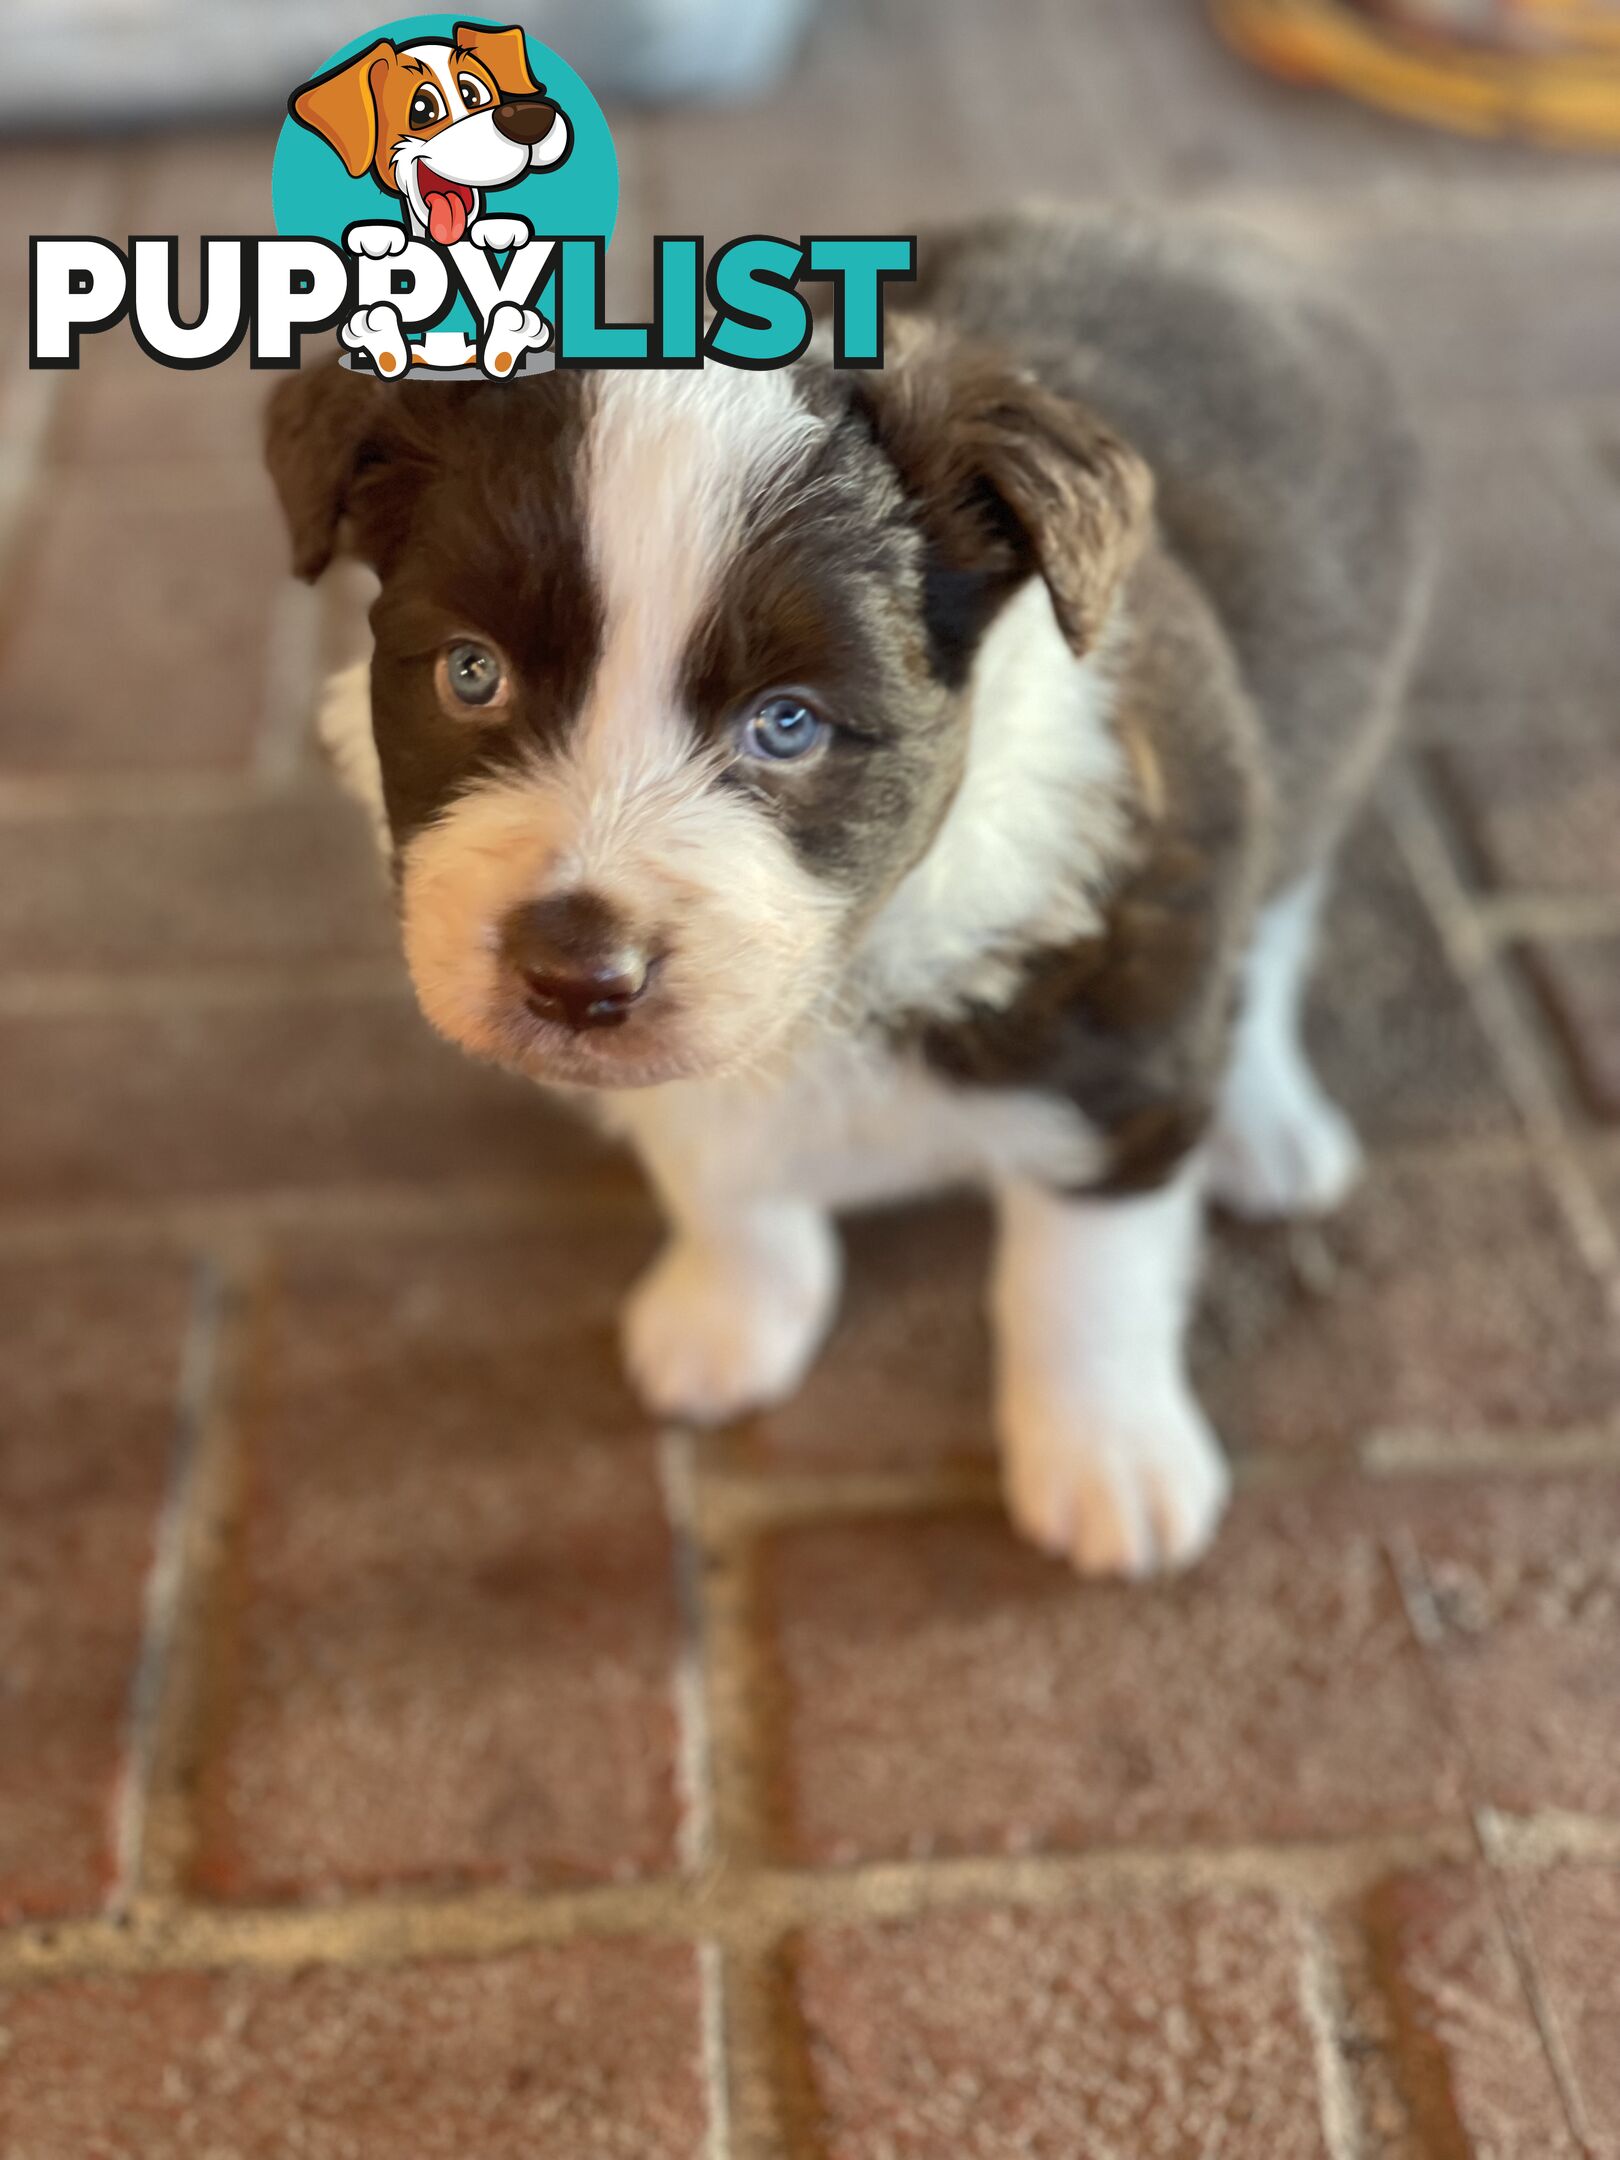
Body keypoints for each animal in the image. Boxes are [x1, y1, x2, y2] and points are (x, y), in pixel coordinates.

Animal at [270, 214, 1434, 1572]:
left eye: (788, 724)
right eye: (471, 673)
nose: (574, 977)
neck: (852, 968)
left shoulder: (1126, 1019)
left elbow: (1085, 1271)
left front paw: (1109, 1461)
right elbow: (721, 1179)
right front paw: (728, 1318)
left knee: (1278, 931)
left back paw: (1268, 1123)